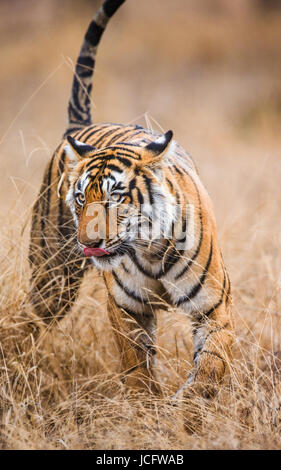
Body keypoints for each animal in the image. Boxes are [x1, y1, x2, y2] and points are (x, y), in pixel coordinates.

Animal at [29, 0, 233, 400]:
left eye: (116, 197)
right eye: (81, 198)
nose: (87, 243)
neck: (150, 250)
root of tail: (80, 130)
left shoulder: (214, 305)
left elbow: (211, 365)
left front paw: (186, 404)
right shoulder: (126, 308)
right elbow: (137, 367)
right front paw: (146, 405)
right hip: (50, 276)